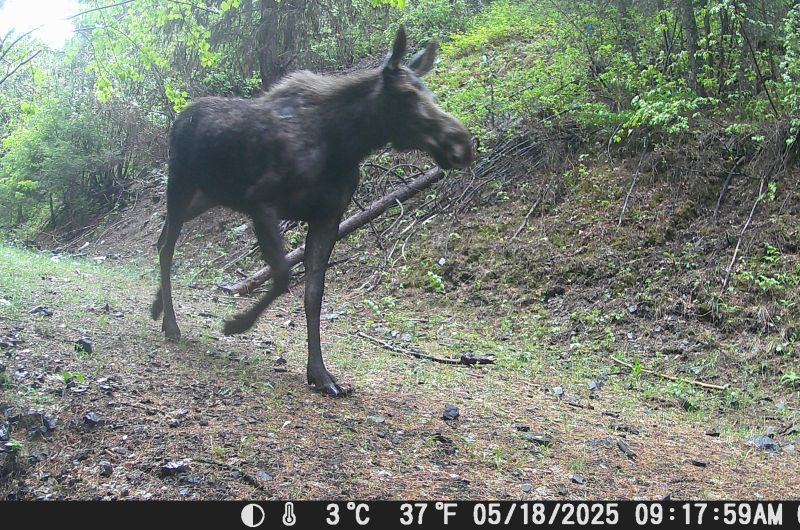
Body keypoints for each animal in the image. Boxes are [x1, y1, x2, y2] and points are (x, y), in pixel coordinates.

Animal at [151, 27, 473, 396]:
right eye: (406, 95)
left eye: (428, 91)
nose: (462, 144)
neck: (344, 145)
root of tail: (178, 118)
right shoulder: (262, 202)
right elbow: (282, 275)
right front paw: (237, 323)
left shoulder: (327, 218)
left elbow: (313, 295)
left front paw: (320, 374)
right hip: (180, 185)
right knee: (167, 245)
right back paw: (171, 323)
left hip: (206, 197)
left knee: (161, 238)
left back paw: (157, 307)